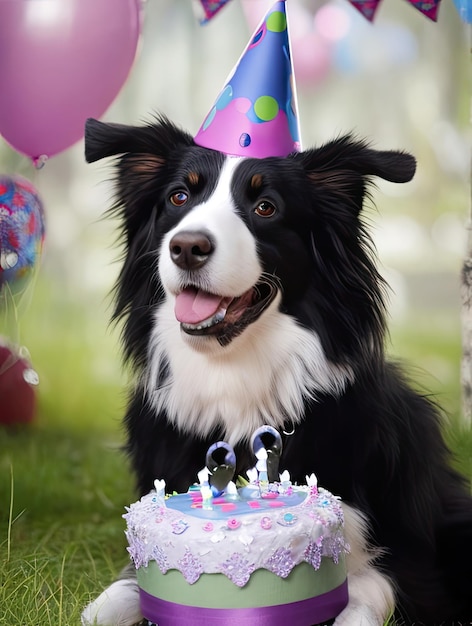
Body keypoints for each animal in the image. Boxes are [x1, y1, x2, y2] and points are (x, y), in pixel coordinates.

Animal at [82, 117, 472, 624]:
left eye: (265, 207)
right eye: (178, 198)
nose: (187, 247)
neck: (234, 375)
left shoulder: (407, 565)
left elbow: (365, 599)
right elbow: (115, 597)